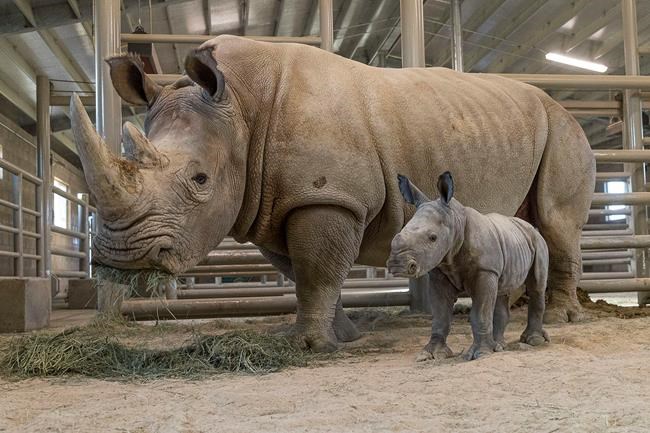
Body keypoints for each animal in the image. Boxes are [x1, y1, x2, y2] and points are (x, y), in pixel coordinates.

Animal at [71, 35, 595, 352]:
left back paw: (562, 320)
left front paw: (308, 346)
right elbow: (302, 271)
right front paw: (340, 335)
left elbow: (317, 270)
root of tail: (563, 104)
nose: (120, 257)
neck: (238, 106)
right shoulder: (273, 204)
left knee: (556, 223)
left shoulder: (326, 196)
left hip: (565, 132)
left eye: (199, 180)